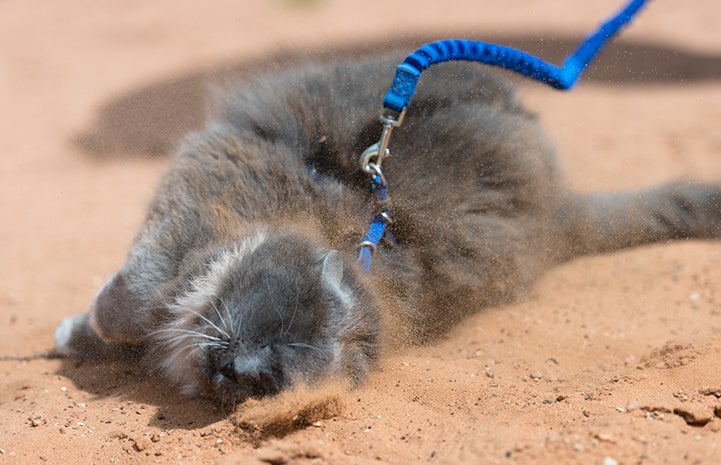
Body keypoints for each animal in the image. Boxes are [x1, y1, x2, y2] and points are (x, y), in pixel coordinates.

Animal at [54, 54, 720, 406]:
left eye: (269, 382)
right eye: (280, 319)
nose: (245, 369)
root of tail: (558, 209)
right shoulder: (211, 184)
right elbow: (129, 303)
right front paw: (81, 329)